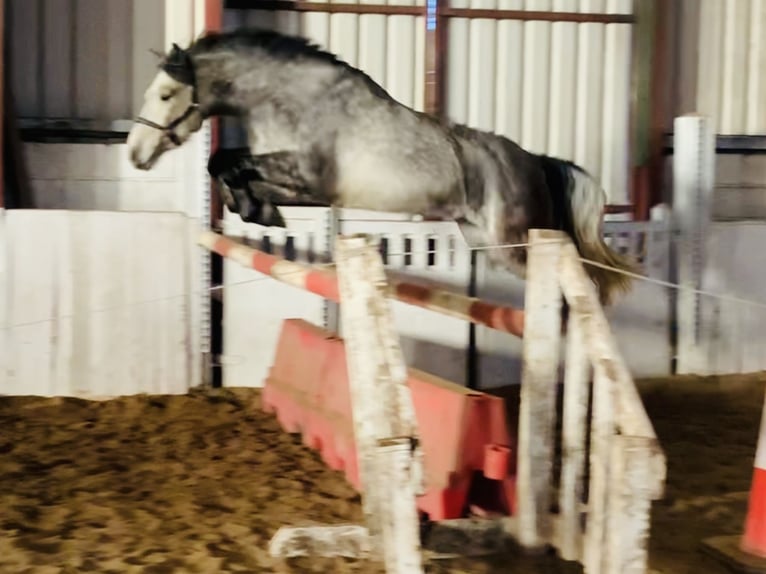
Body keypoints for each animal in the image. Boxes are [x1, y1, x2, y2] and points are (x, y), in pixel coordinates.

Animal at [129, 28, 640, 306]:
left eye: (166, 95)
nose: (136, 154)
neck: (287, 99)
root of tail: (534, 160)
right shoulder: (299, 185)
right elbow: (228, 168)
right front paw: (258, 212)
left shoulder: (307, 175)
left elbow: (229, 162)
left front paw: (257, 210)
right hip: (490, 243)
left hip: (515, 242)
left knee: (579, 282)